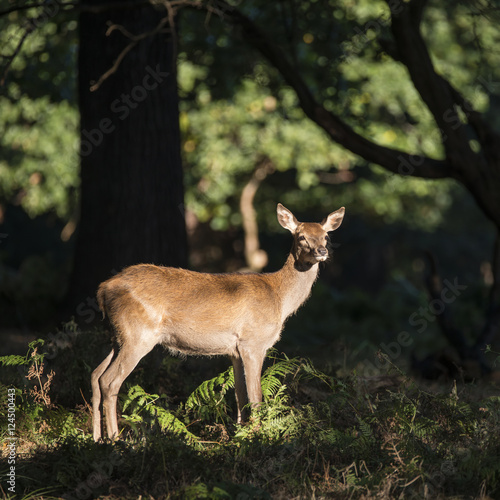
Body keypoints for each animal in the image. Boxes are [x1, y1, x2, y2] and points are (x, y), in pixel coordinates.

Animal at [92, 201, 346, 440]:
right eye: (301, 236)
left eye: (325, 235)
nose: (322, 250)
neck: (279, 299)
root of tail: (103, 289)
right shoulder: (252, 342)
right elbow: (255, 396)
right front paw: (258, 436)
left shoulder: (235, 350)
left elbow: (240, 395)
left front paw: (240, 434)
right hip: (138, 335)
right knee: (109, 381)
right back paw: (115, 439)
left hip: (119, 337)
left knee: (95, 375)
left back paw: (96, 438)